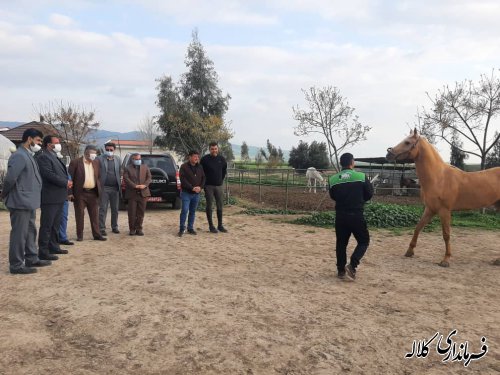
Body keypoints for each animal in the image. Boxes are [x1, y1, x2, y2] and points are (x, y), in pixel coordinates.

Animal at [386, 129, 500, 268]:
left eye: (407, 142)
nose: (388, 154)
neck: (439, 178)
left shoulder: (444, 211)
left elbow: (446, 235)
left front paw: (445, 260)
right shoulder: (430, 209)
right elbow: (418, 227)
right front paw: (409, 251)